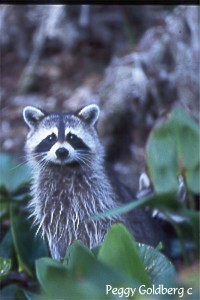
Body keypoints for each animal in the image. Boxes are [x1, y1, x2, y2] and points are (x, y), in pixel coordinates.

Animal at [22, 104, 163, 258]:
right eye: (51, 138)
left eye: (71, 137)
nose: (61, 151)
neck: (64, 168)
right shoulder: (47, 204)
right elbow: (55, 237)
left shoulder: (100, 200)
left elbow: (102, 229)